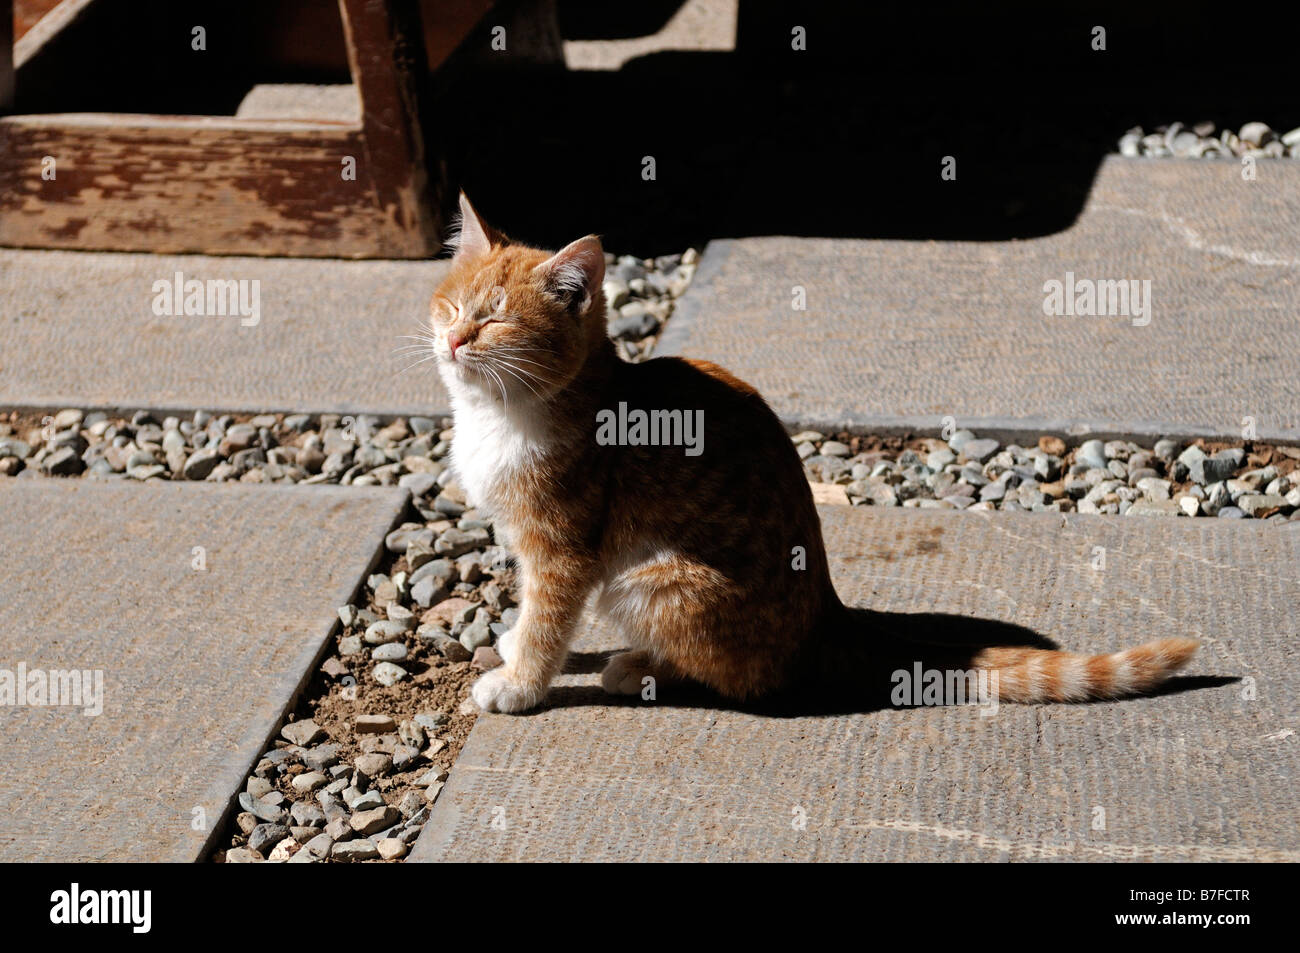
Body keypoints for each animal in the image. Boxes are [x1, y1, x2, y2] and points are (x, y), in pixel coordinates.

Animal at [426, 193, 1196, 712]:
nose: (455, 340)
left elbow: (548, 620)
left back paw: (640, 667)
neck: (500, 416)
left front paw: (521, 682)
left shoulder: (563, 550)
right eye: (451, 307)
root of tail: (829, 612)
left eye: (496, 320)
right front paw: (511, 640)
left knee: (745, 676)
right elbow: (529, 606)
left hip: (649, 582)